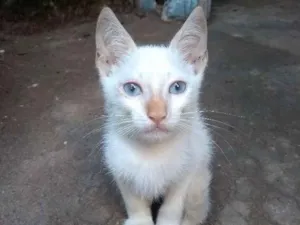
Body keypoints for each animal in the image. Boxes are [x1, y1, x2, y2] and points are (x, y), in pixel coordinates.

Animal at [95, 5, 212, 225]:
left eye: (177, 87)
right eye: (132, 89)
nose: (157, 115)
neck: (152, 154)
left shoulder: (189, 169)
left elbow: (172, 206)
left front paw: (169, 219)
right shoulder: (119, 168)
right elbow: (134, 203)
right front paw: (139, 219)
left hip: (200, 176)